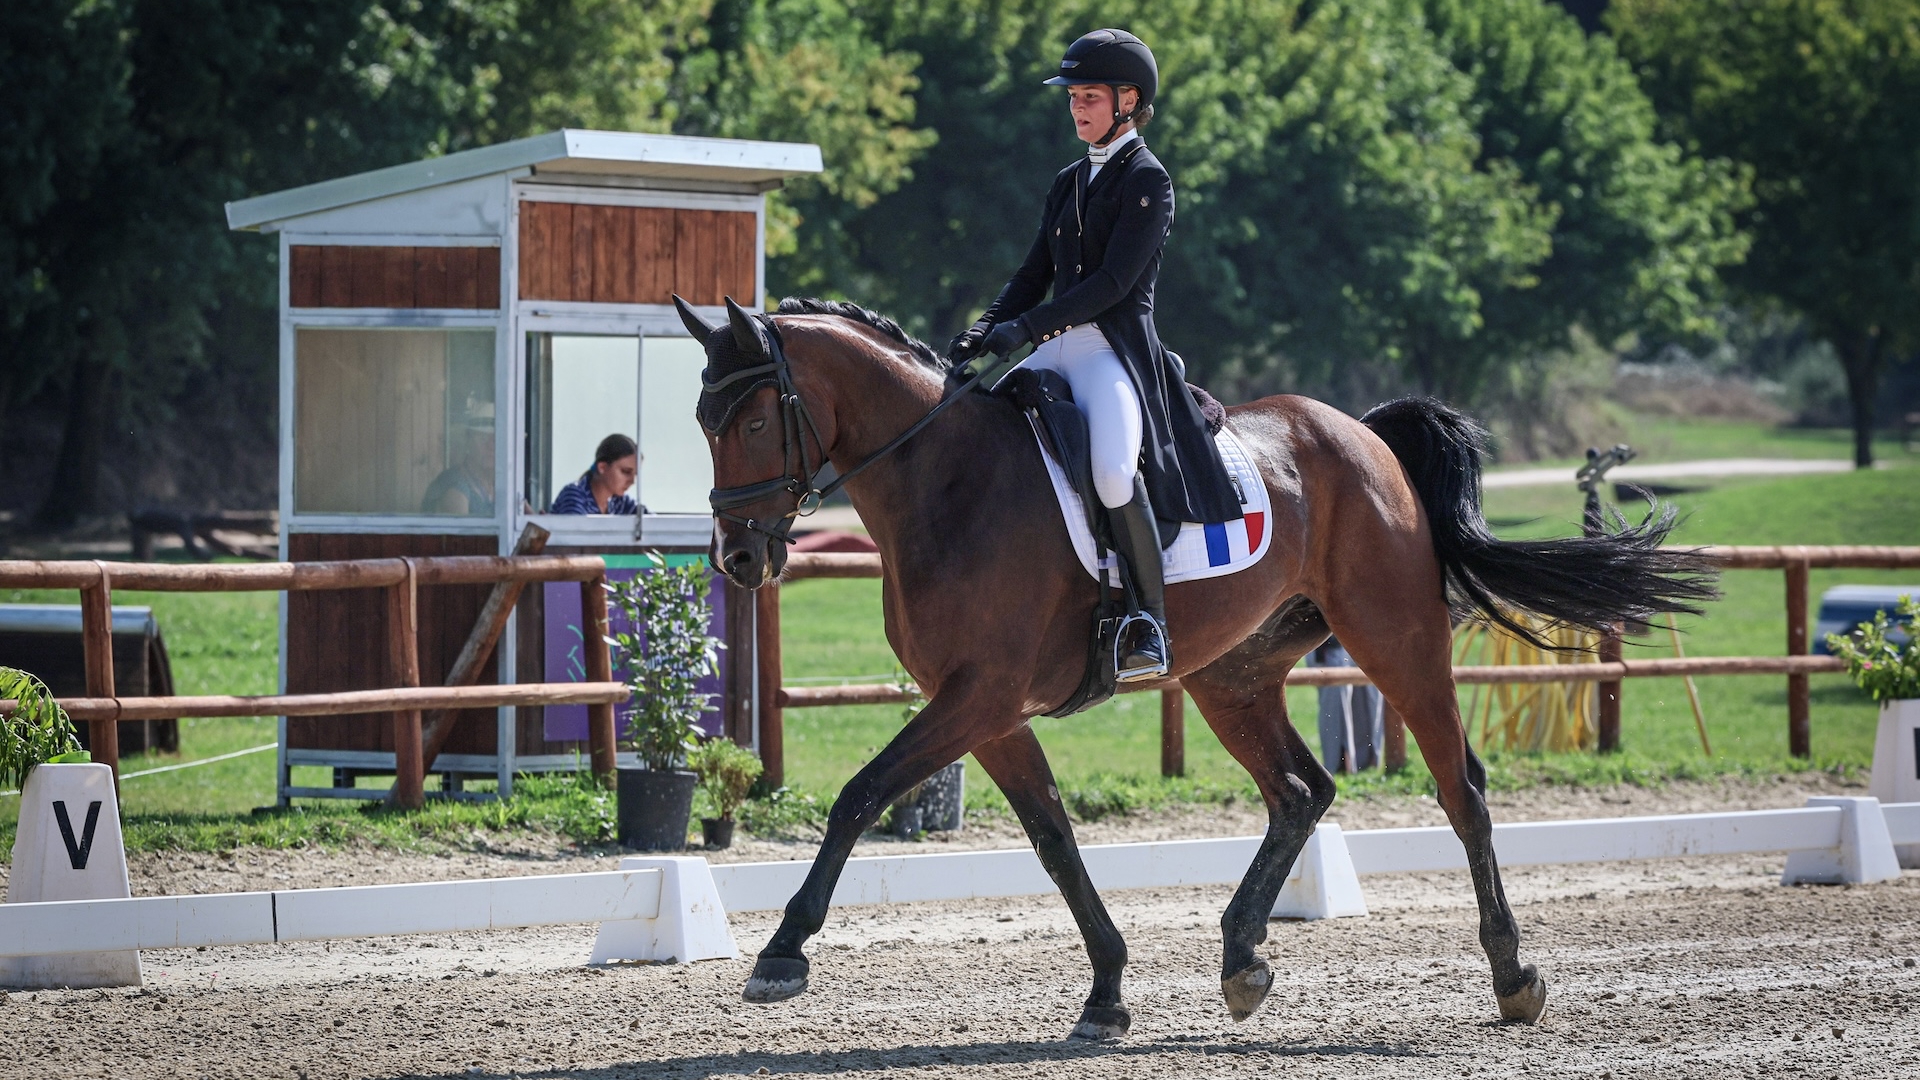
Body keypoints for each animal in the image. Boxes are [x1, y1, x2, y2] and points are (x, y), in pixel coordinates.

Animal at [683, 294, 1720, 1037]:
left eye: (753, 423)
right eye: (701, 419)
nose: (738, 559)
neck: (949, 482)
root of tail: (1364, 433)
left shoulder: (979, 695)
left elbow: (860, 795)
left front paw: (781, 955)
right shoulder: (990, 709)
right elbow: (1053, 839)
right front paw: (1106, 993)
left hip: (1395, 642)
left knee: (1459, 787)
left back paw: (1512, 975)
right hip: (1233, 675)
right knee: (1301, 791)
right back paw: (1243, 960)